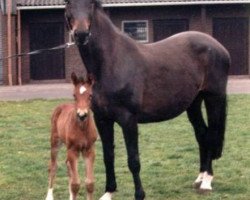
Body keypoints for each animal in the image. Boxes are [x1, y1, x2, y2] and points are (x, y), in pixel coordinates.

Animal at [45, 72, 97, 200]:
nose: (82, 115)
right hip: (55, 141)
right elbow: (75, 184)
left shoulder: (89, 150)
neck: (82, 128)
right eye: (74, 95)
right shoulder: (73, 149)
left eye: (90, 95)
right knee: (53, 166)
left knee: (68, 165)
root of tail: (61, 106)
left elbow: (89, 183)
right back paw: (49, 196)